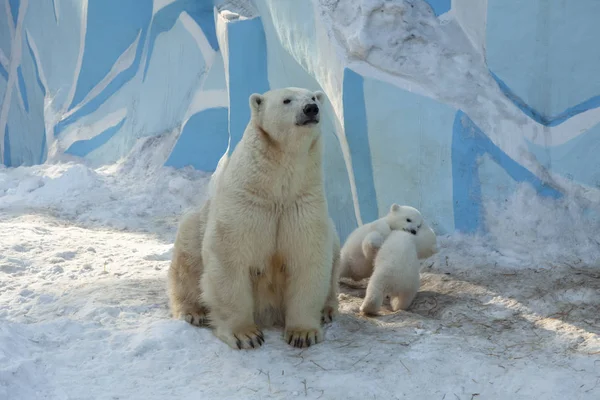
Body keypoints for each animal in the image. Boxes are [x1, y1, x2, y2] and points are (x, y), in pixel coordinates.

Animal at [166, 86, 340, 348]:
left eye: (312, 97)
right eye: (286, 100)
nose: (311, 109)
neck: (277, 189)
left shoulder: (302, 204)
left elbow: (308, 258)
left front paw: (303, 333)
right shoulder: (247, 203)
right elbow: (228, 257)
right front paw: (246, 334)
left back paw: (327, 311)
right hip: (196, 226)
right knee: (187, 258)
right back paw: (193, 311)